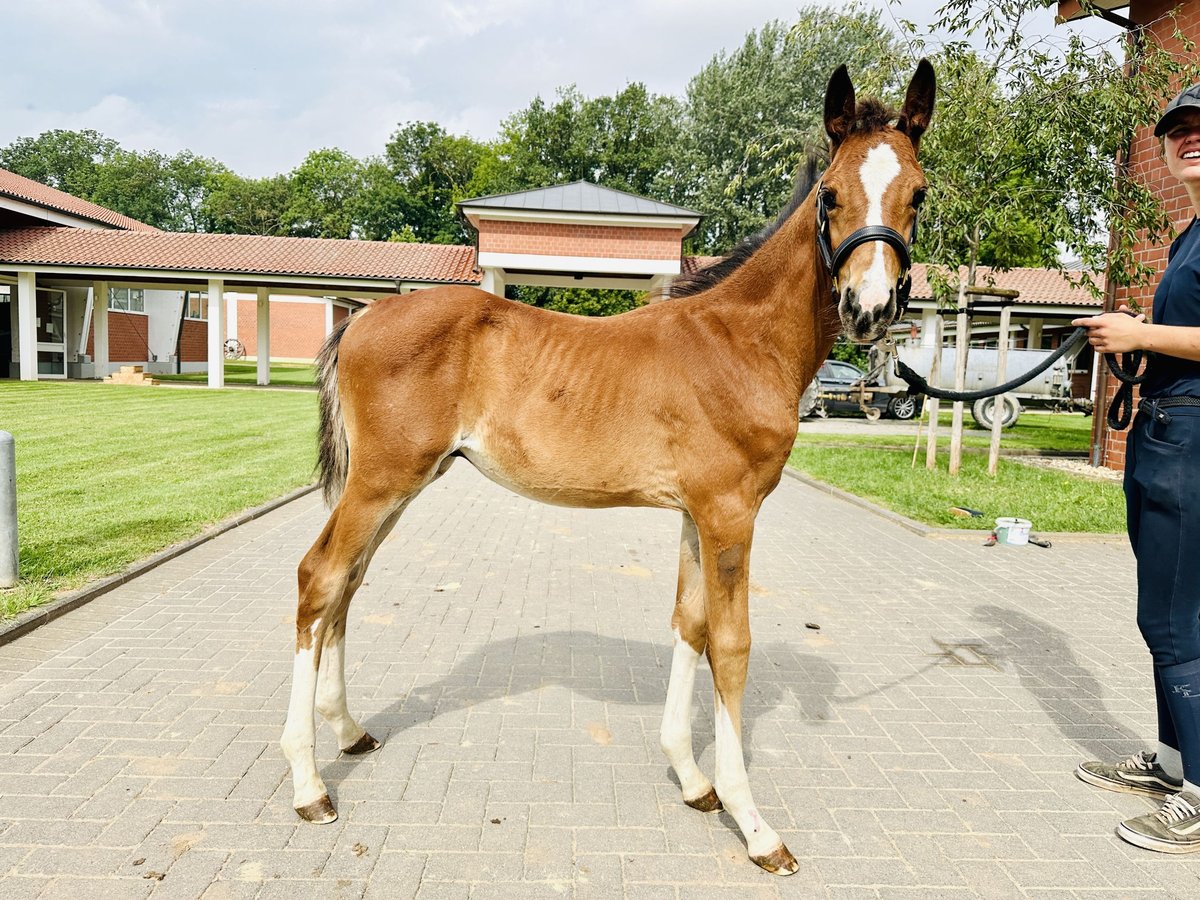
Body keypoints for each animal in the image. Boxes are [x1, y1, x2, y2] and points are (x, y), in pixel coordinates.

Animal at [283, 61, 936, 873]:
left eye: (918, 193)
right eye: (832, 194)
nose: (870, 308)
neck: (739, 342)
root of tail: (362, 317)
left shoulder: (697, 512)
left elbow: (690, 623)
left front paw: (693, 780)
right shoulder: (730, 512)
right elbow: (732, 644)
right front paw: (753, 823)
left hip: (402, 485)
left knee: (348, 584)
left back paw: (349, 732)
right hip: (381, 482)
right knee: (320, 578)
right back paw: (310, 785)